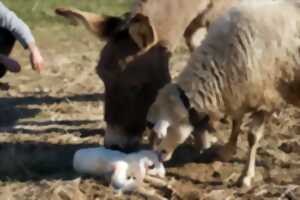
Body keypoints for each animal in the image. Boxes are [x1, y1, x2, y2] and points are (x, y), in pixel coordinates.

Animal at [147, 0, 300, 188]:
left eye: (162, 131)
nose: (158, 157)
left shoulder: (267, 98)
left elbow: (252, 137)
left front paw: (246, 177)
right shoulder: (238, 93)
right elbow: (236, 122)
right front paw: (227, 151)